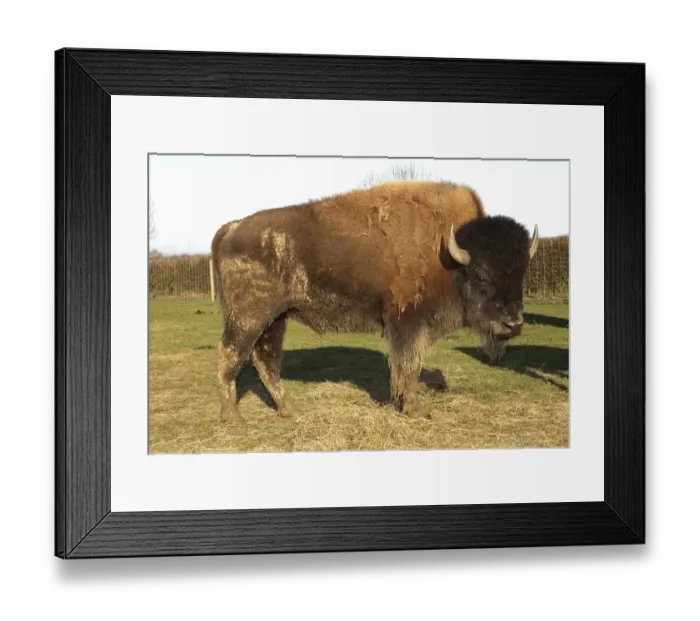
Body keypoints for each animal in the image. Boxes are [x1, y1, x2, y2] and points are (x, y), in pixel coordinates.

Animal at [211, 181, 538, 423]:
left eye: (521, 272)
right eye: (481, 275)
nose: (513, 323)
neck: (446, 252)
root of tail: (233, 227)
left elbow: (407, 366)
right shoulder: (407, 323)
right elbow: (408, 365)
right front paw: (415, 410)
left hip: (276, 319)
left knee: (265, 359)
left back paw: (290, 410)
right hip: (249, 318)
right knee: (230, 354)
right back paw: (233, 418)